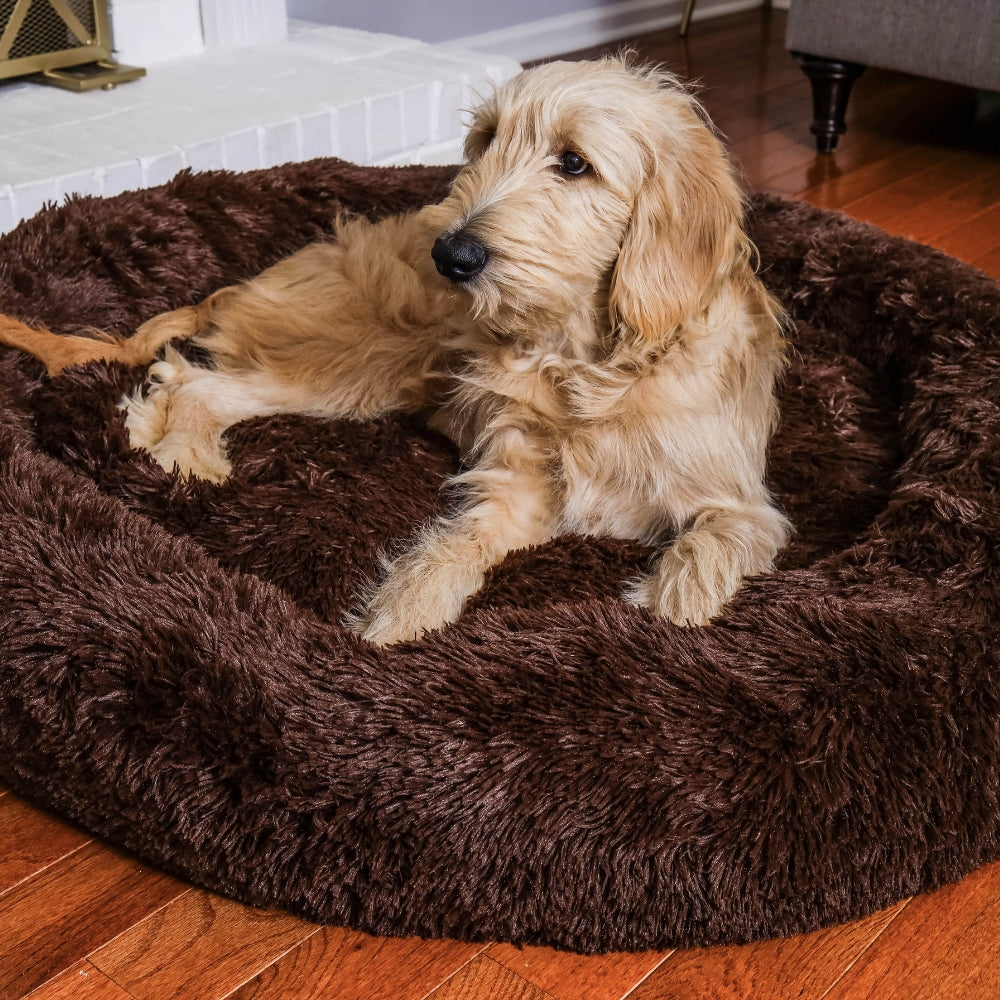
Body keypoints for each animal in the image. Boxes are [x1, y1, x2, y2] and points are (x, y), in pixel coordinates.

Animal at [1, 58, 796, 644]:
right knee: (198, 380)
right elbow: (456, 542)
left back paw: (160, 438)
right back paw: (179, 452)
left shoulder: (738, 503)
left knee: (190, 375)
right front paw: (401, 618)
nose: (450, 255)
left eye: (574, 164)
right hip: (363, 363)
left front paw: (668, 610)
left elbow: (708, 550)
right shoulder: (512, 481)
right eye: (486, 140)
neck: (581, 359)